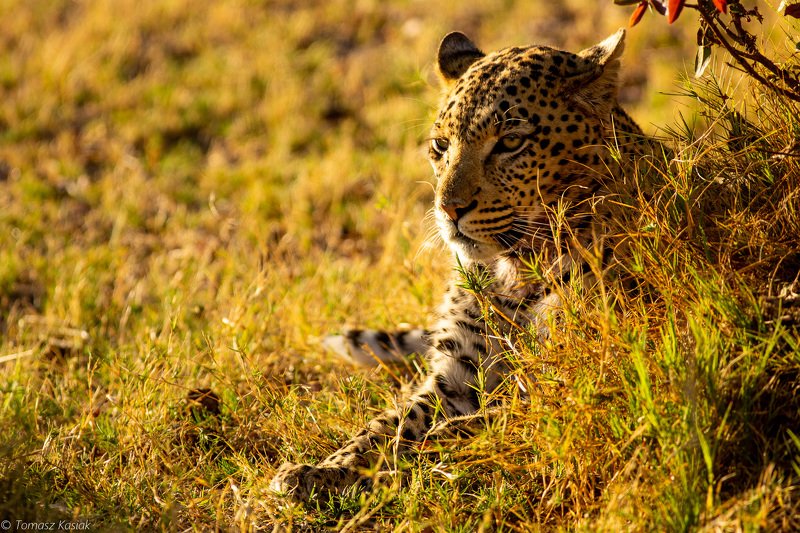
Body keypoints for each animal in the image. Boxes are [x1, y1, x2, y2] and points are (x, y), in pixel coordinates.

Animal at [270, 28, 653, 503]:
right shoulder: (456, 373)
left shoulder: (577, 372)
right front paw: (320, 471)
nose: (448, 208)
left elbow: (497, 418)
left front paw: (427, 454)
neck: (516, 271)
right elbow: (386, 426)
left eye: (510, 143)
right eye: (441, 146)